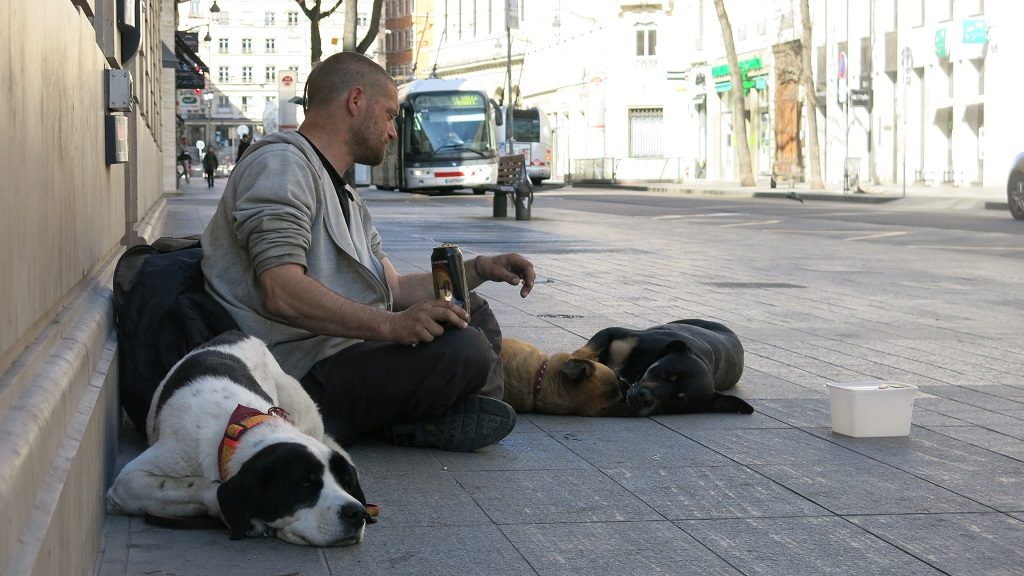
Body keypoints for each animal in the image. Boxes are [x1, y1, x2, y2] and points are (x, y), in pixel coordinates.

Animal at [107, 330, 372, 545]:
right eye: (306, 484)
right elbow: (202, 486)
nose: (356, 512)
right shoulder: (129, 482)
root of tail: (235, 332)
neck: (239, 430)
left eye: (346, 484)